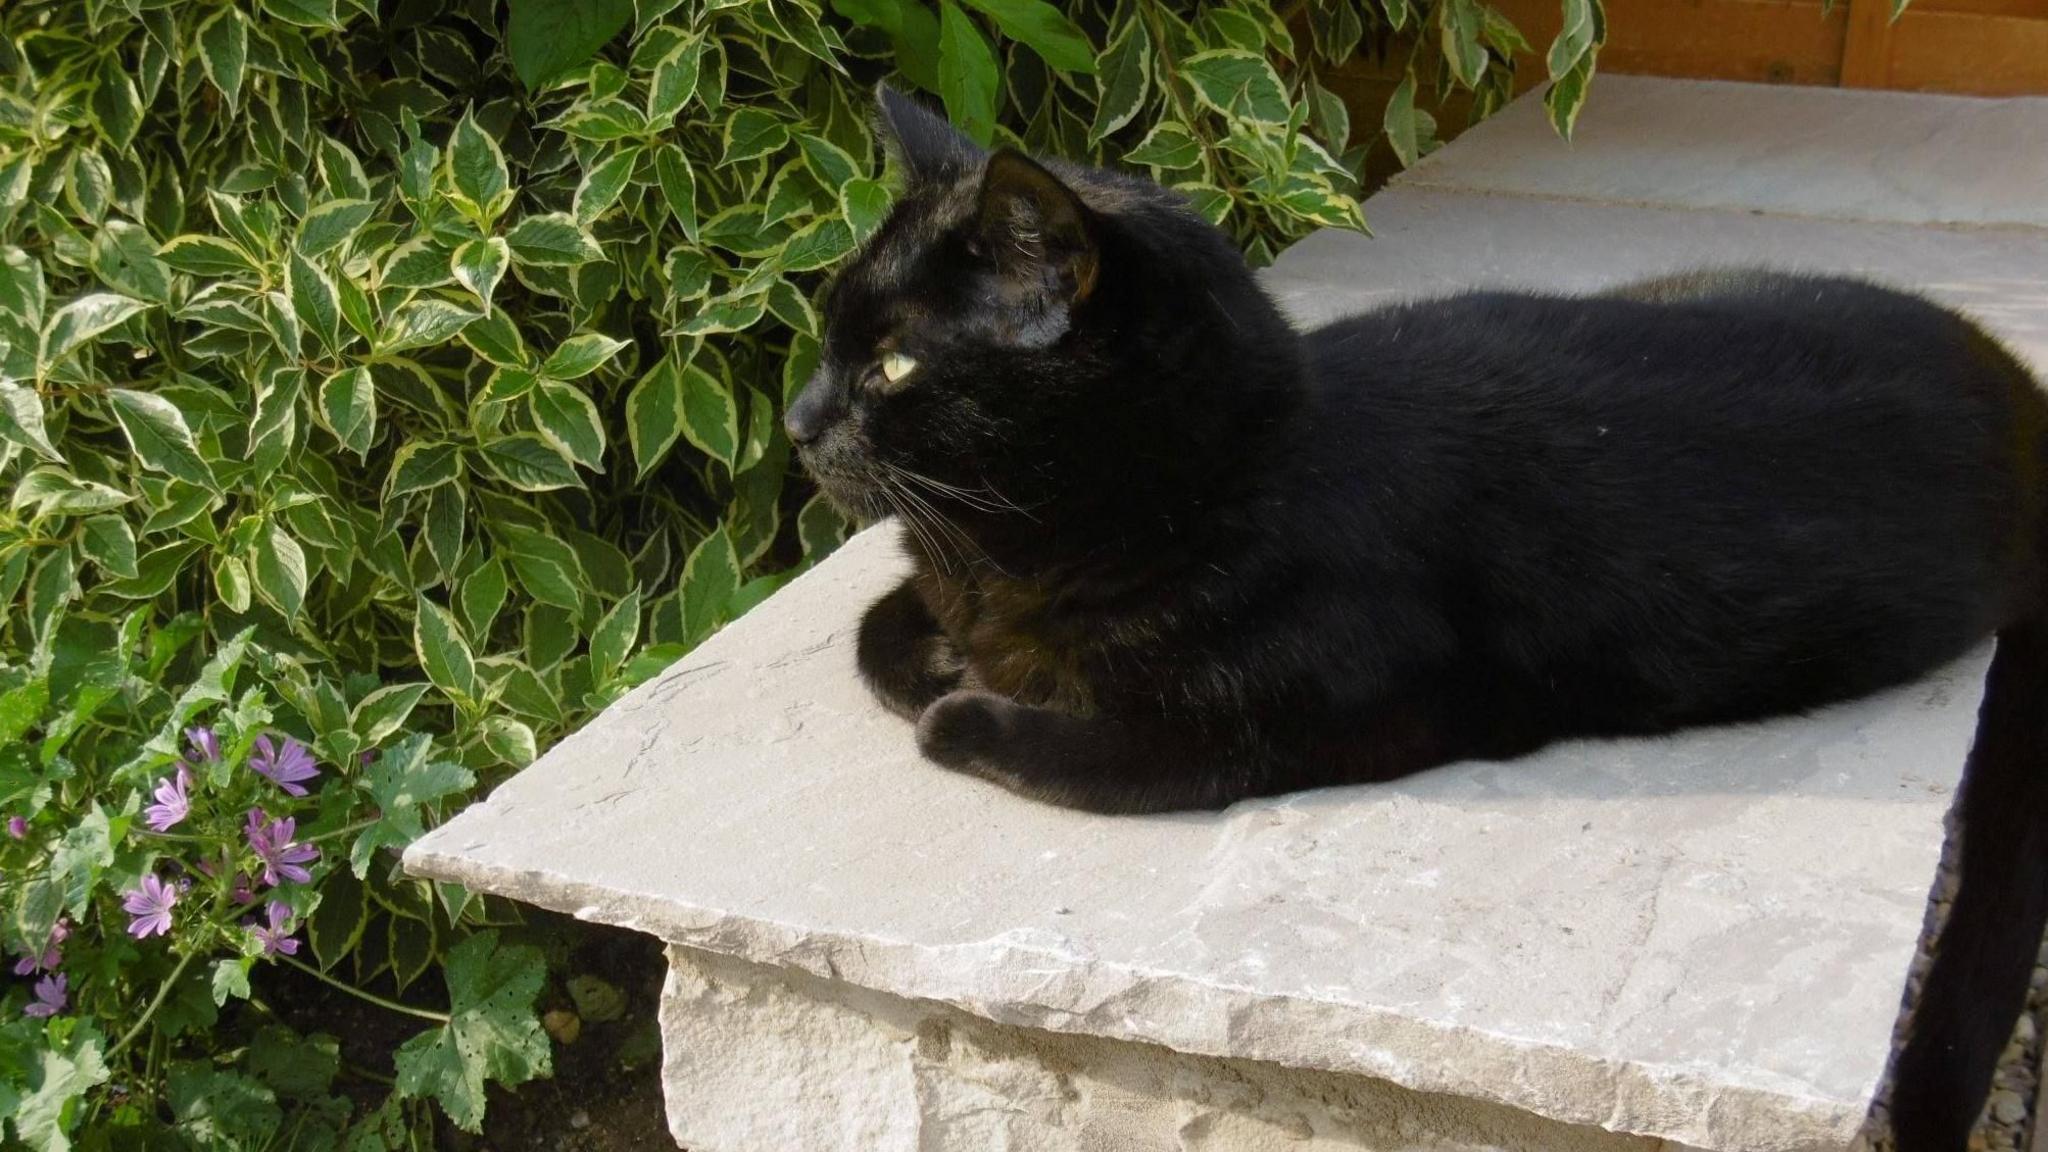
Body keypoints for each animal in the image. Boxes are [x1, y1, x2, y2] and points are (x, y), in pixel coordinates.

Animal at [786, 85, 2048, 1139]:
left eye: (891, 366)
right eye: (830, 338)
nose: (796, 420)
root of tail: (2017, 384)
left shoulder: (1306, 718)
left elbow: (1069, 741)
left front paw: (961, 705)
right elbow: (875, 630)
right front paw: (938, 657)